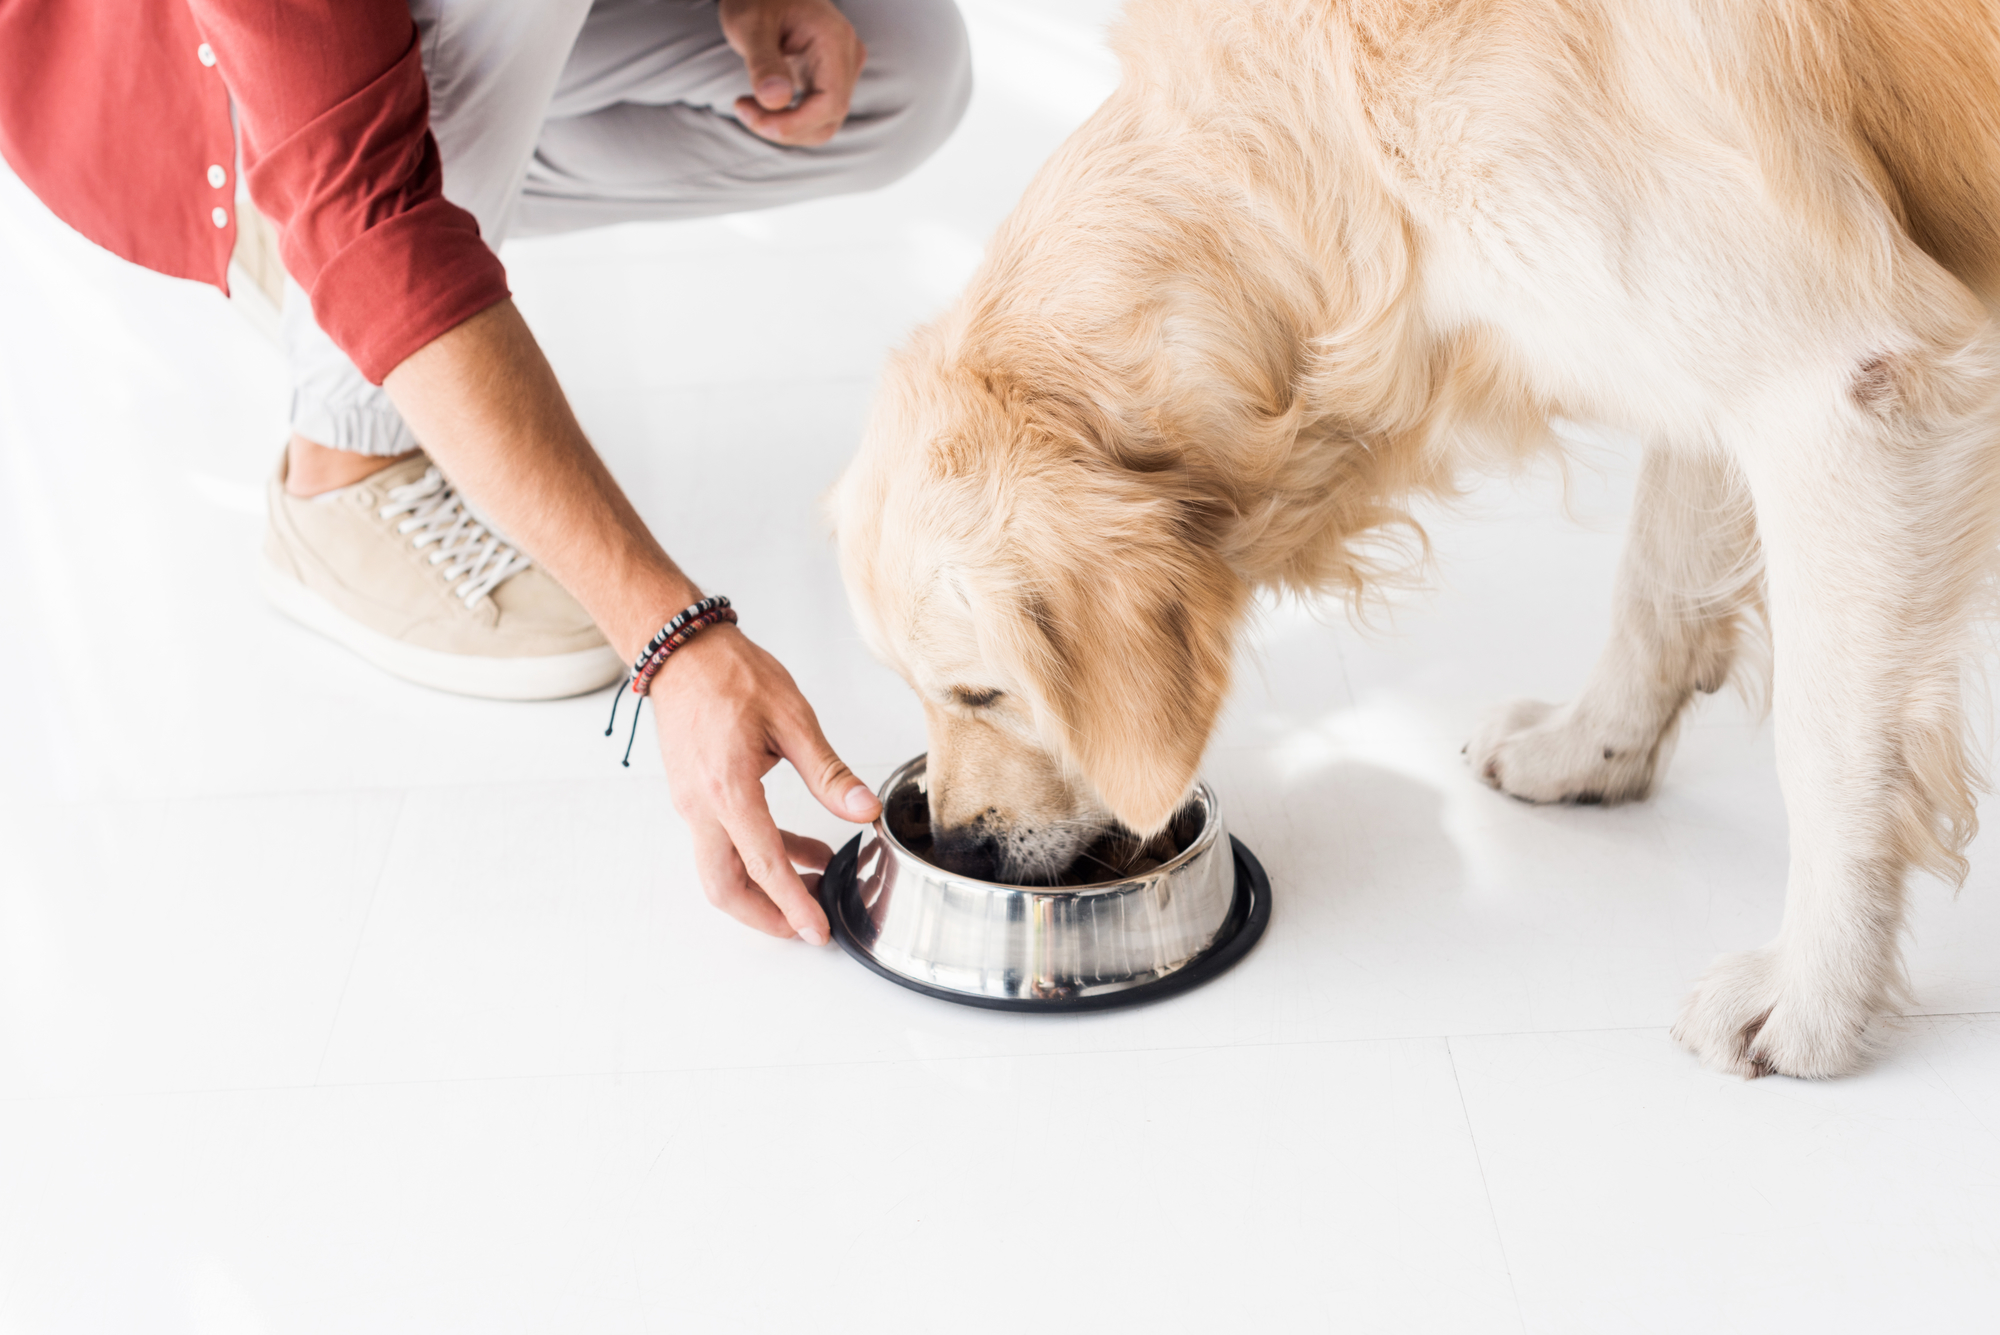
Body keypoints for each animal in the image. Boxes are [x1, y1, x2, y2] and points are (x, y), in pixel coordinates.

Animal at [828, 0, 2000, 1071]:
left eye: (983, 691)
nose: (956, 842)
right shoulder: (1703, 360)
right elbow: (1655, 583)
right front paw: (1590, 748)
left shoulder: (1845, 381)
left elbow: (1827, 748)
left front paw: (1811, 997)